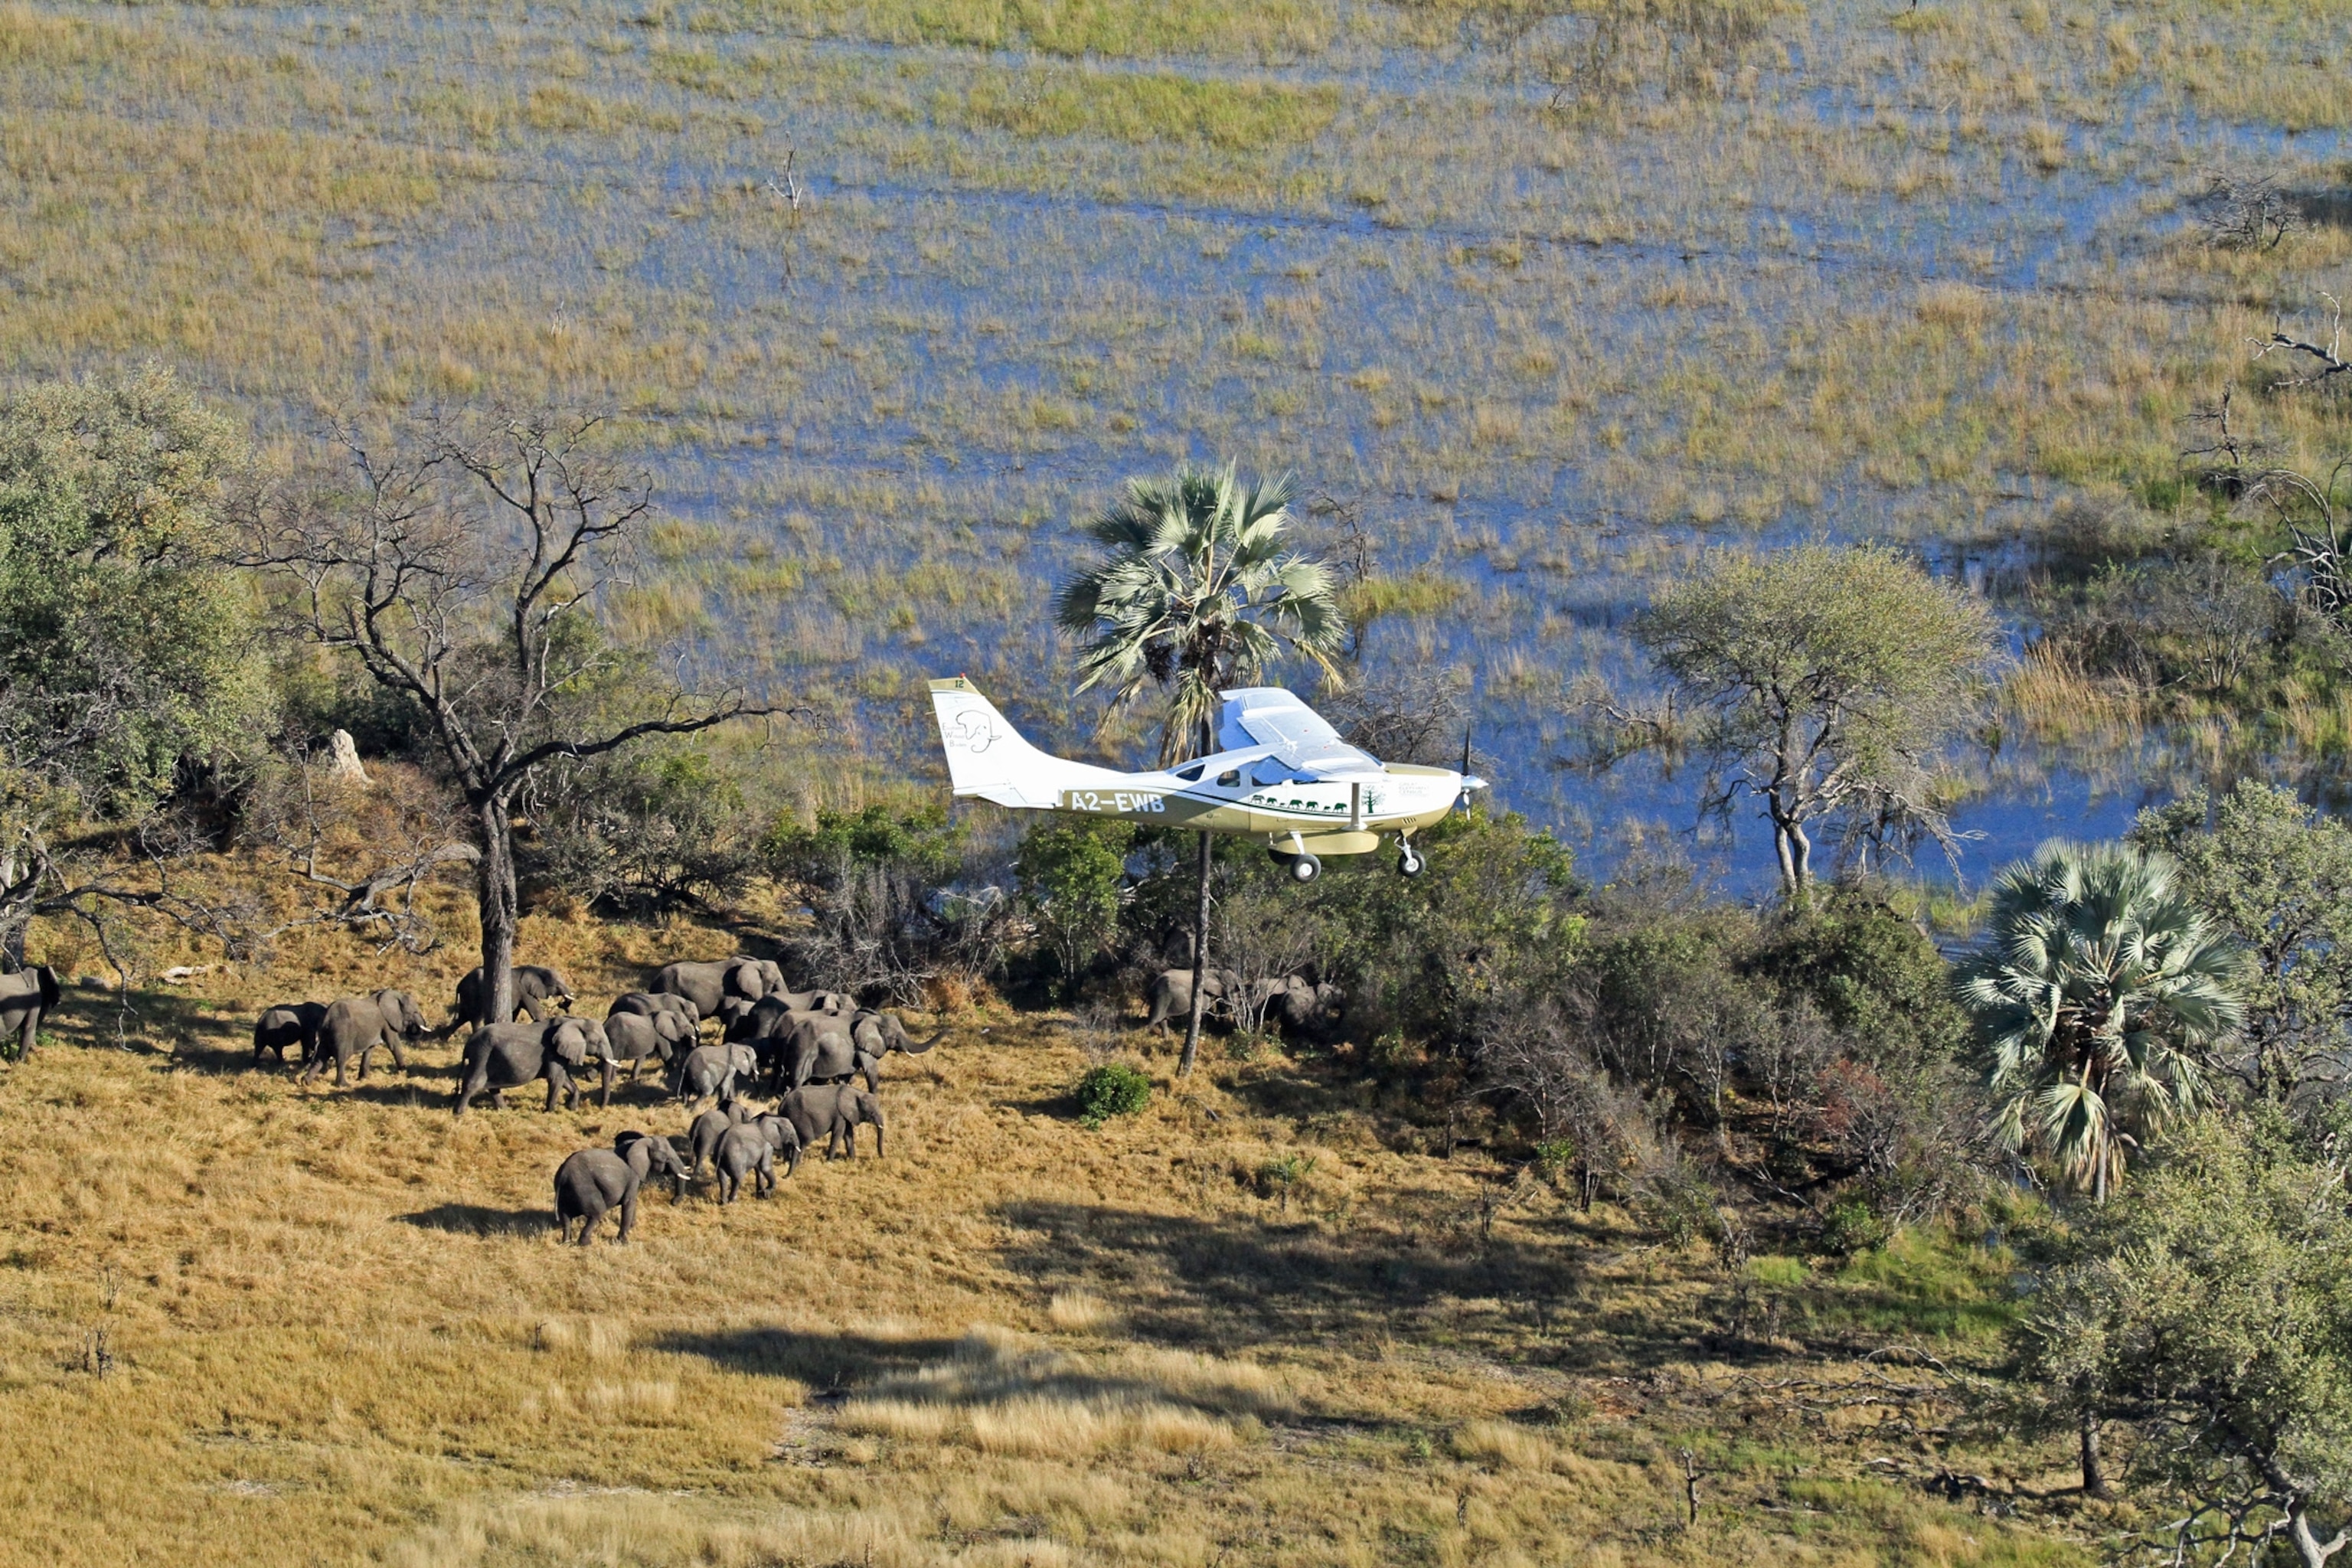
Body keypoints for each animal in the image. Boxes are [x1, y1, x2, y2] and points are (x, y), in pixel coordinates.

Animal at [305, 990, 431, 1087]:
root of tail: (327, 1017)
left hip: (326, 1034)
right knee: (341, 1058)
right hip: (341, 1032)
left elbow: (370, 1049)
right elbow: (393, 1044)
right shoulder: (386, 1022)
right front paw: (404, 1072)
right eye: (414, 1012)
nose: (412, 1026)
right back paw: (344, 1085)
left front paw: (363, 1079)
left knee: (320, 1057)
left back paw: (305, 1082)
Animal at [451, 964, 574, 1029]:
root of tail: (459, 985)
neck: (536, 969)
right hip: (472, 993)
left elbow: (515, 1013)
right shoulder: (525, 992)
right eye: (556, 984)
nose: (561, 1003)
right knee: (475, 1018)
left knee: (461, 1019)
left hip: (466, 996)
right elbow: (537, 1013)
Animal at [454, 1016, 611, 1116]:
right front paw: (550, 1112)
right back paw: (459, 1114)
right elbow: (555, 1078)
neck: (574, 1021)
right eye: (598, 1042)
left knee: (492, 1086)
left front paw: (571, 1108)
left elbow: (565, 1079)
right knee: (474, 1083)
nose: (600, 1108)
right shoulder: (552, 1050)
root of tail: (468, 1042)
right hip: (481, 1053)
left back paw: (505, 1110)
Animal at [554, 1133, 689, 1245]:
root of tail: (564, 1174)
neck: (641, 1142)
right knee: (597, 1213)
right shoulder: (633, 1175)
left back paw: (566, 1243)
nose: (672, 1202)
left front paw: (632, 1228)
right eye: (666, 1159)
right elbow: (629, 1201)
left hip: (567, 1190)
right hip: (584, 1186)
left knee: (565, 1216)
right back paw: (586, 1244)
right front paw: (624, 1242)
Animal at [779, 1082, 885, 1159]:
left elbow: (848, 1134)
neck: (855, 1093)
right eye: (871, 1113)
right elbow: (838, 1133)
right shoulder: (839, 1114)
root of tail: (782, 1104)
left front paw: (852, 1160)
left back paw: (786, 1160)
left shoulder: (845, 1115)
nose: (881, 1157)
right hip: (797, 1115)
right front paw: (829, 1162)